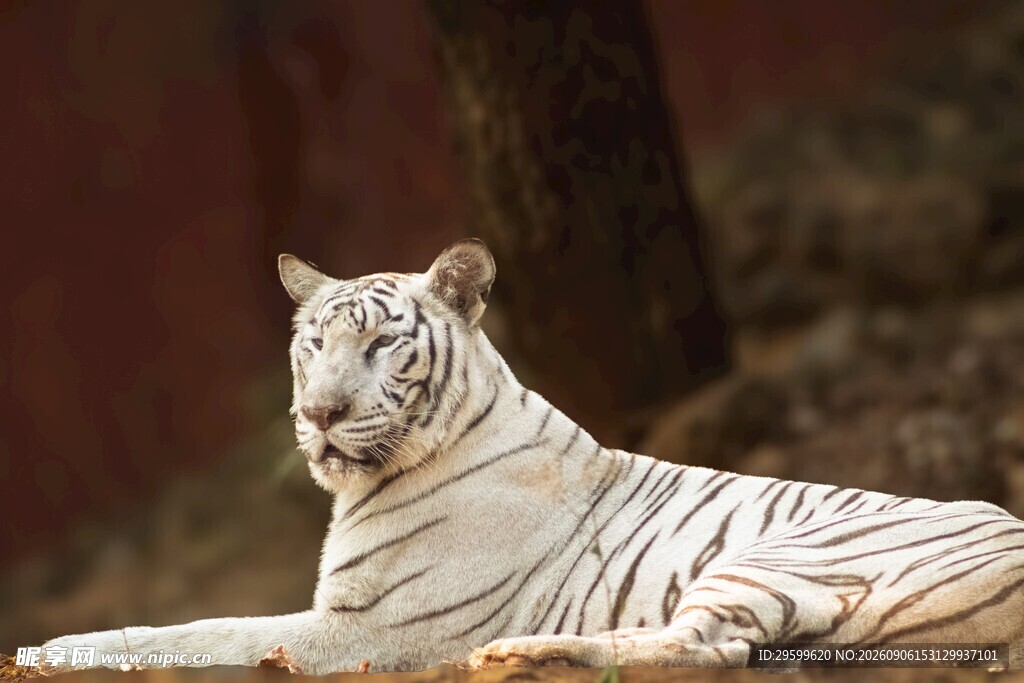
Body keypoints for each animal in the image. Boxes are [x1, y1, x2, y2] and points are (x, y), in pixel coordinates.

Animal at [40, 239, 1024, 674]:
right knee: (714, 650)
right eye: (312, 345)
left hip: (777, 555)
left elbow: (207, 629)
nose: (318, 414)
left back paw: (515, 652)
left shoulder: (364, 628)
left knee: (704, 648)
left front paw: (53, 646)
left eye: (377, 345)